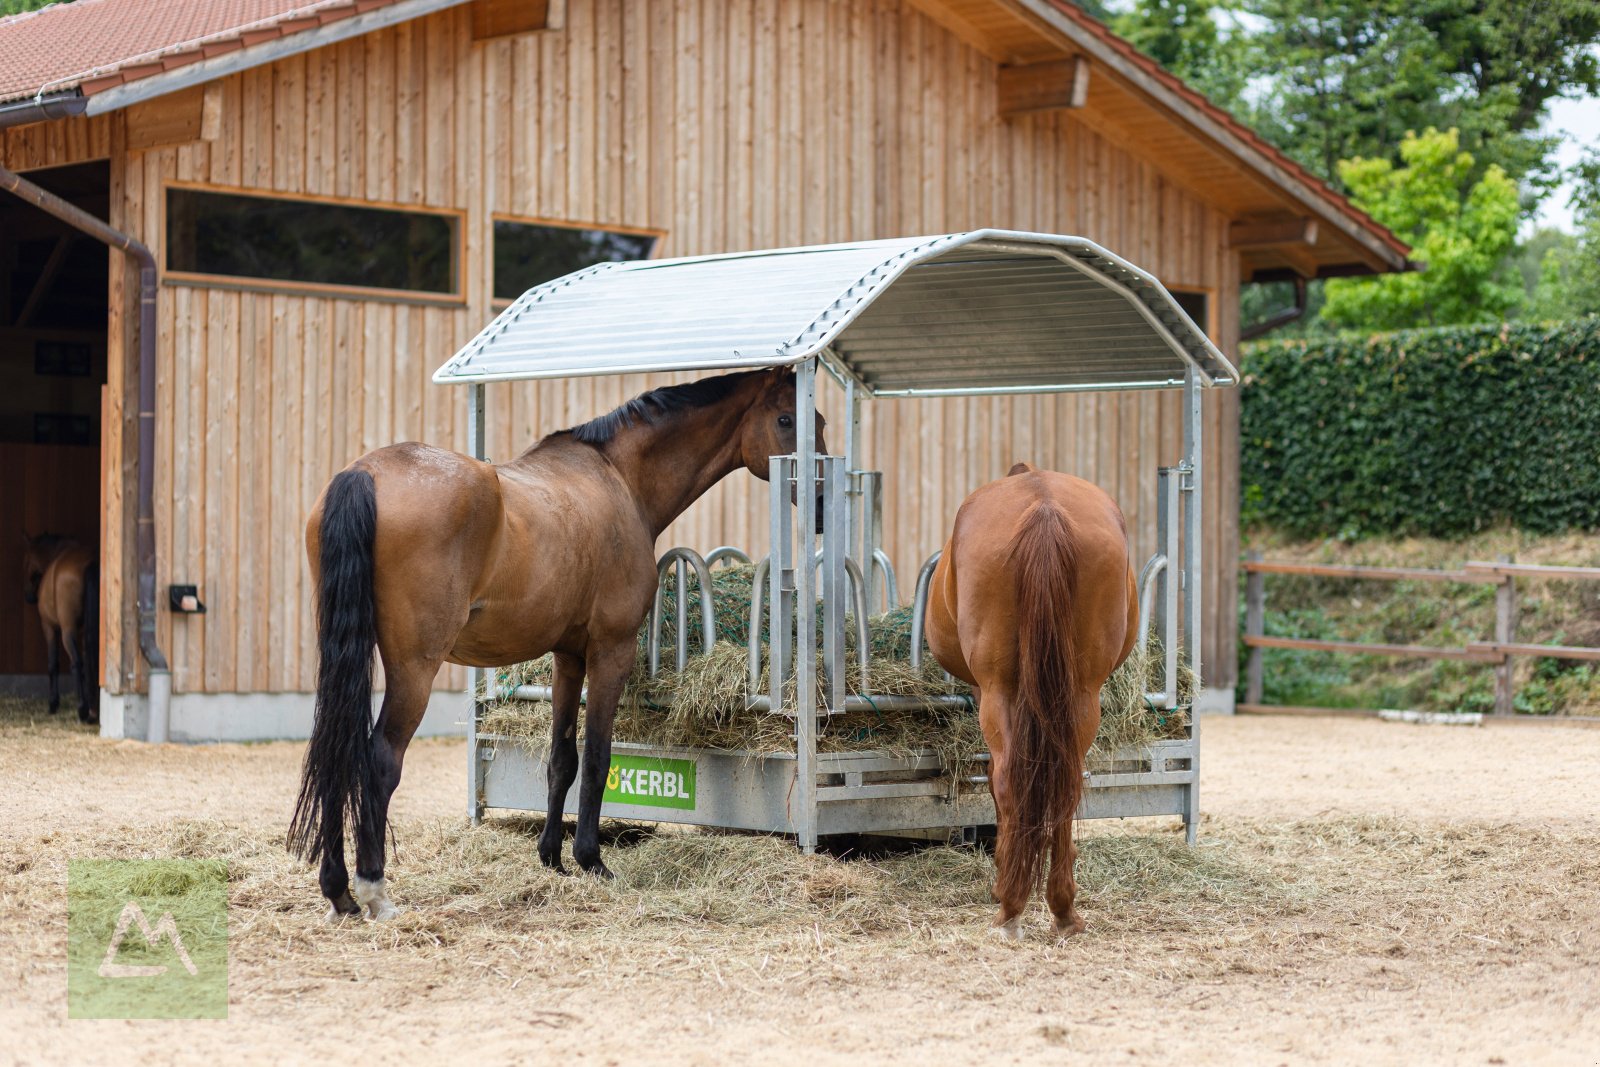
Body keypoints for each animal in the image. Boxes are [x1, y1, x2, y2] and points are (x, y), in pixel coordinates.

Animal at [20, 534, 100, 726]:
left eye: (26, 562)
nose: (29, 596)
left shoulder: (49, 627)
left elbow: (53, 664)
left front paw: (53, 703)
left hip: (67, 631)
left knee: (77, 663)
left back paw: (83, 710)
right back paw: (93, 711)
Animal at [289, 367, 832, 921]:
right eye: (786, 419)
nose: (820, 508)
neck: (617, 477)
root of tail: (364, 473)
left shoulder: (568, 656)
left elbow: (561, 759)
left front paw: (552, 856)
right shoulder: (611, 650)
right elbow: (597, 758)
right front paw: (591, 859)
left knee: (337, 751)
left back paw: (338, 891)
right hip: (415, 668)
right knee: (380, 760)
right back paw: (374, 889)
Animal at [928, 463, 1139, 940]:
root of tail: (1043, 507)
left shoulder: (983, 690)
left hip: (999, 690)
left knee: (1007, 780)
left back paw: (1010, 907)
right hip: (1081, 694)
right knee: (1066, 785)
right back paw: (1062, 910)